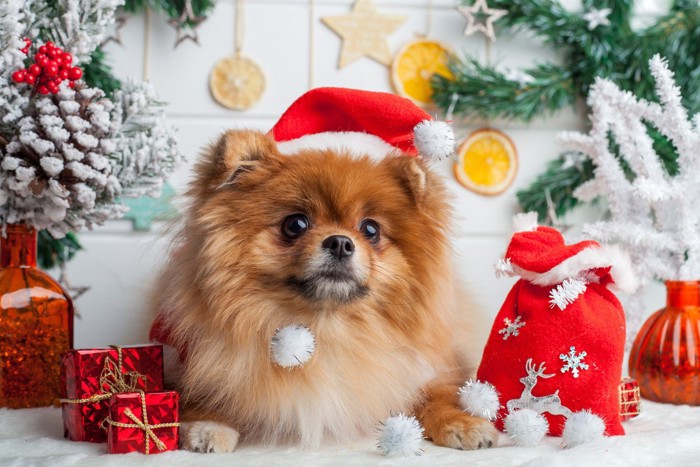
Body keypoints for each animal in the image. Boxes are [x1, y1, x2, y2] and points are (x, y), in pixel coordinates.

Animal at [152, 128, 498, 454]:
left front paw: (463, 423)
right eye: (295, 224)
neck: (326, 328)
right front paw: (208, 424)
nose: (340, 242)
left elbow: (438, 394)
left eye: (370, 229)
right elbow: (198, 392)